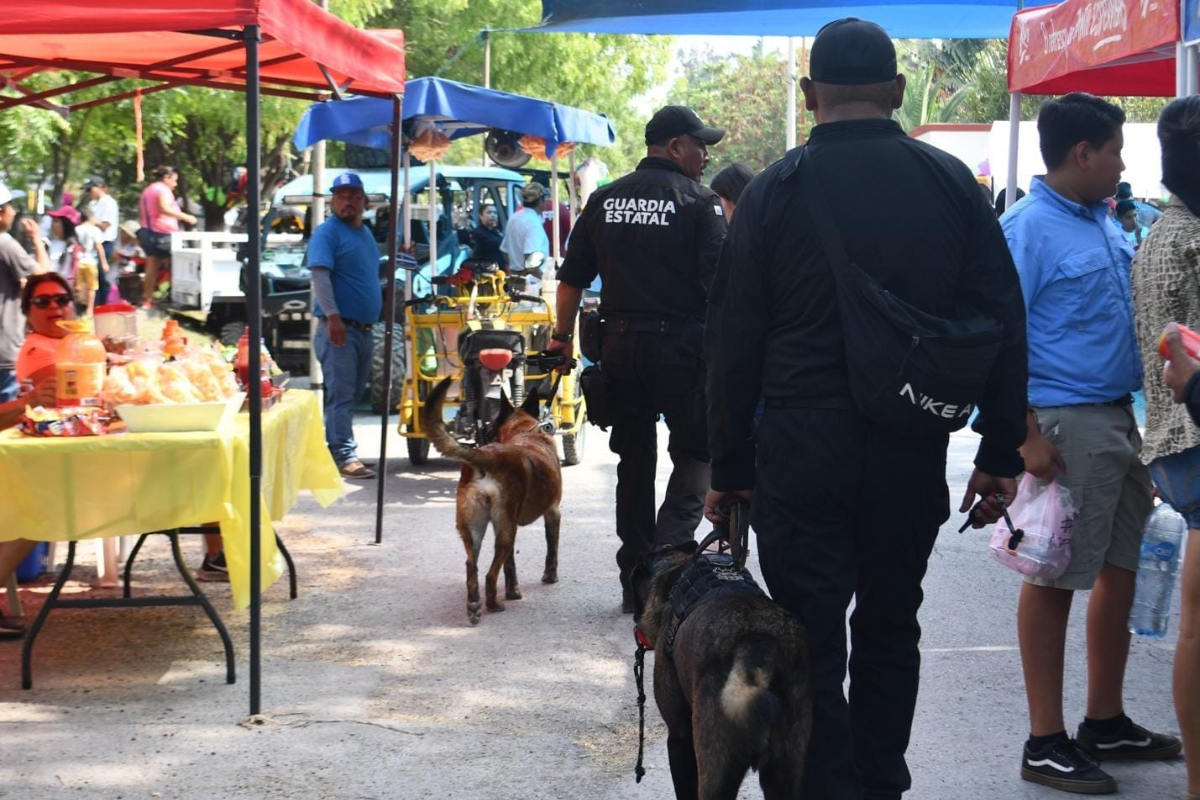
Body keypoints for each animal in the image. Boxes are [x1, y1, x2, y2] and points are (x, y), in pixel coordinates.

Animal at [422, 379, 561, 628]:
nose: (485, 432)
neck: (524, 431)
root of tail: (486, 458)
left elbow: (510, 566)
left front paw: (513, 591)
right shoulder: (553, 513)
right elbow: (551, 549)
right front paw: (549, 577)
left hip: (475, 528)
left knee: (472, 566)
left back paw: (474, 606)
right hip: (505, 530)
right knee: (489, 573)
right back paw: (493, 604)